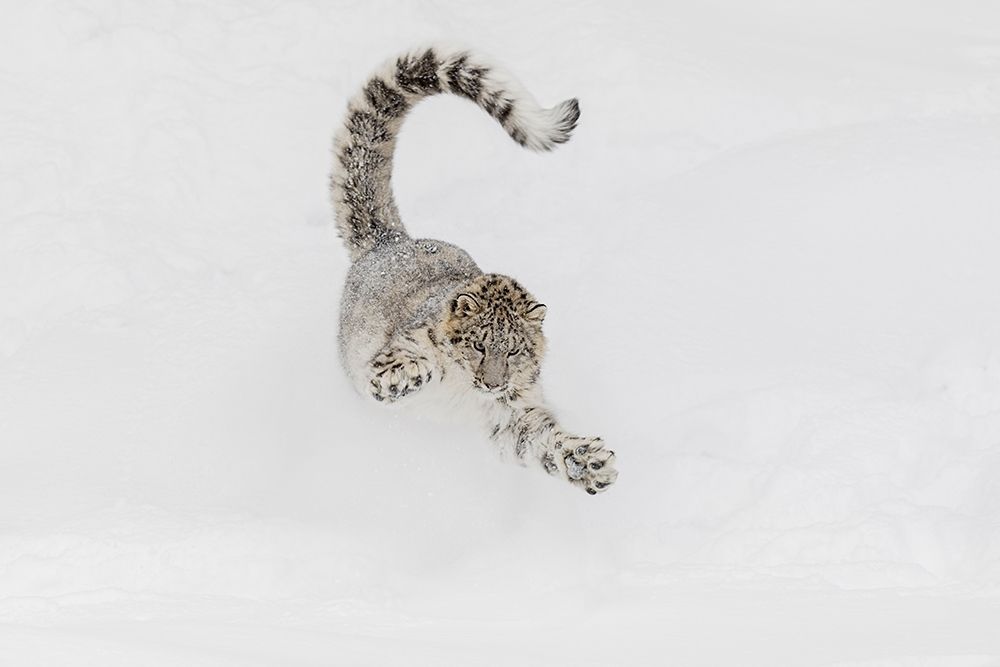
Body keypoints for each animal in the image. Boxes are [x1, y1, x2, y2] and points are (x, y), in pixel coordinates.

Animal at [331, 45, 618, 495]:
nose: (493, 383)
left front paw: (589, 463)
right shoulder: (388, 354)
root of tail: (390, 242)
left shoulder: (512, 414)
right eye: (479, 345)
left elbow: (540, 439)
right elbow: (398, 366)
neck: (465, 393)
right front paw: (407, 375)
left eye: (514, 350)